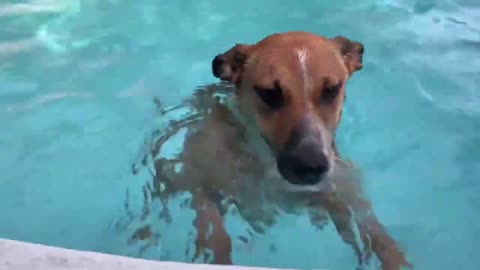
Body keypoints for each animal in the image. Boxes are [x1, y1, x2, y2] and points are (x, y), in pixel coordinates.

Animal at [131, 32, 412, 270]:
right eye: (269, 93)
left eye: (332, 89)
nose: (311, 166)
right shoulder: (201, 183)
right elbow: (215, 233)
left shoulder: (341, 187)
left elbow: (374, 230)